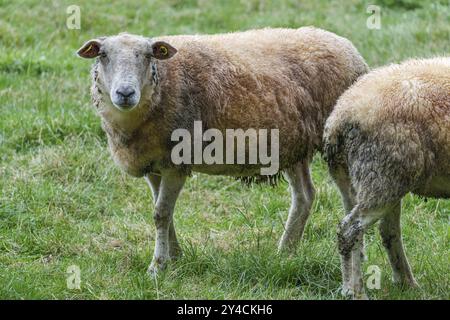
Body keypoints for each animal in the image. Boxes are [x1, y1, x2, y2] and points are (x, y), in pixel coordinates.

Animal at [75, 26, 368, 276]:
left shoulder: (176, 163)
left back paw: (354, 254)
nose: (125, 93)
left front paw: (157, 266)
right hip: (293, 146)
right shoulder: (152, 164)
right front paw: (175, 257)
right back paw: (285, 252)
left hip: (338, 144)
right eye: (103, 55)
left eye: (148, 56)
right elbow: (164, 214)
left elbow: (161, 214)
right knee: (305, 196)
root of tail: (348, 47)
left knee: (351, 199)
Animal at [326, 56, 448, 298]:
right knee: (349, 231)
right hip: (382, 178)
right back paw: (358, 292)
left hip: (362, 181)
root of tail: (339, 117)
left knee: (386, 233)